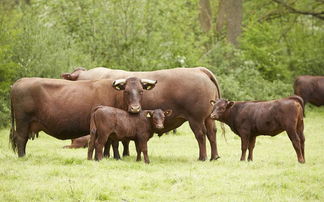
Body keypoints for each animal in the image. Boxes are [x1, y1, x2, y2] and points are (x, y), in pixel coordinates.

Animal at [10, 76, 157, 157]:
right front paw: (113, 157)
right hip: (23, 121)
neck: (115, 96)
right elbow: (112, 143)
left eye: (141, 91)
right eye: (126, 91)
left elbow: (110, 143)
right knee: (21, 139)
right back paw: (22, 157)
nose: (135, 108)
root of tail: (20, 81)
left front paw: (107, 156)